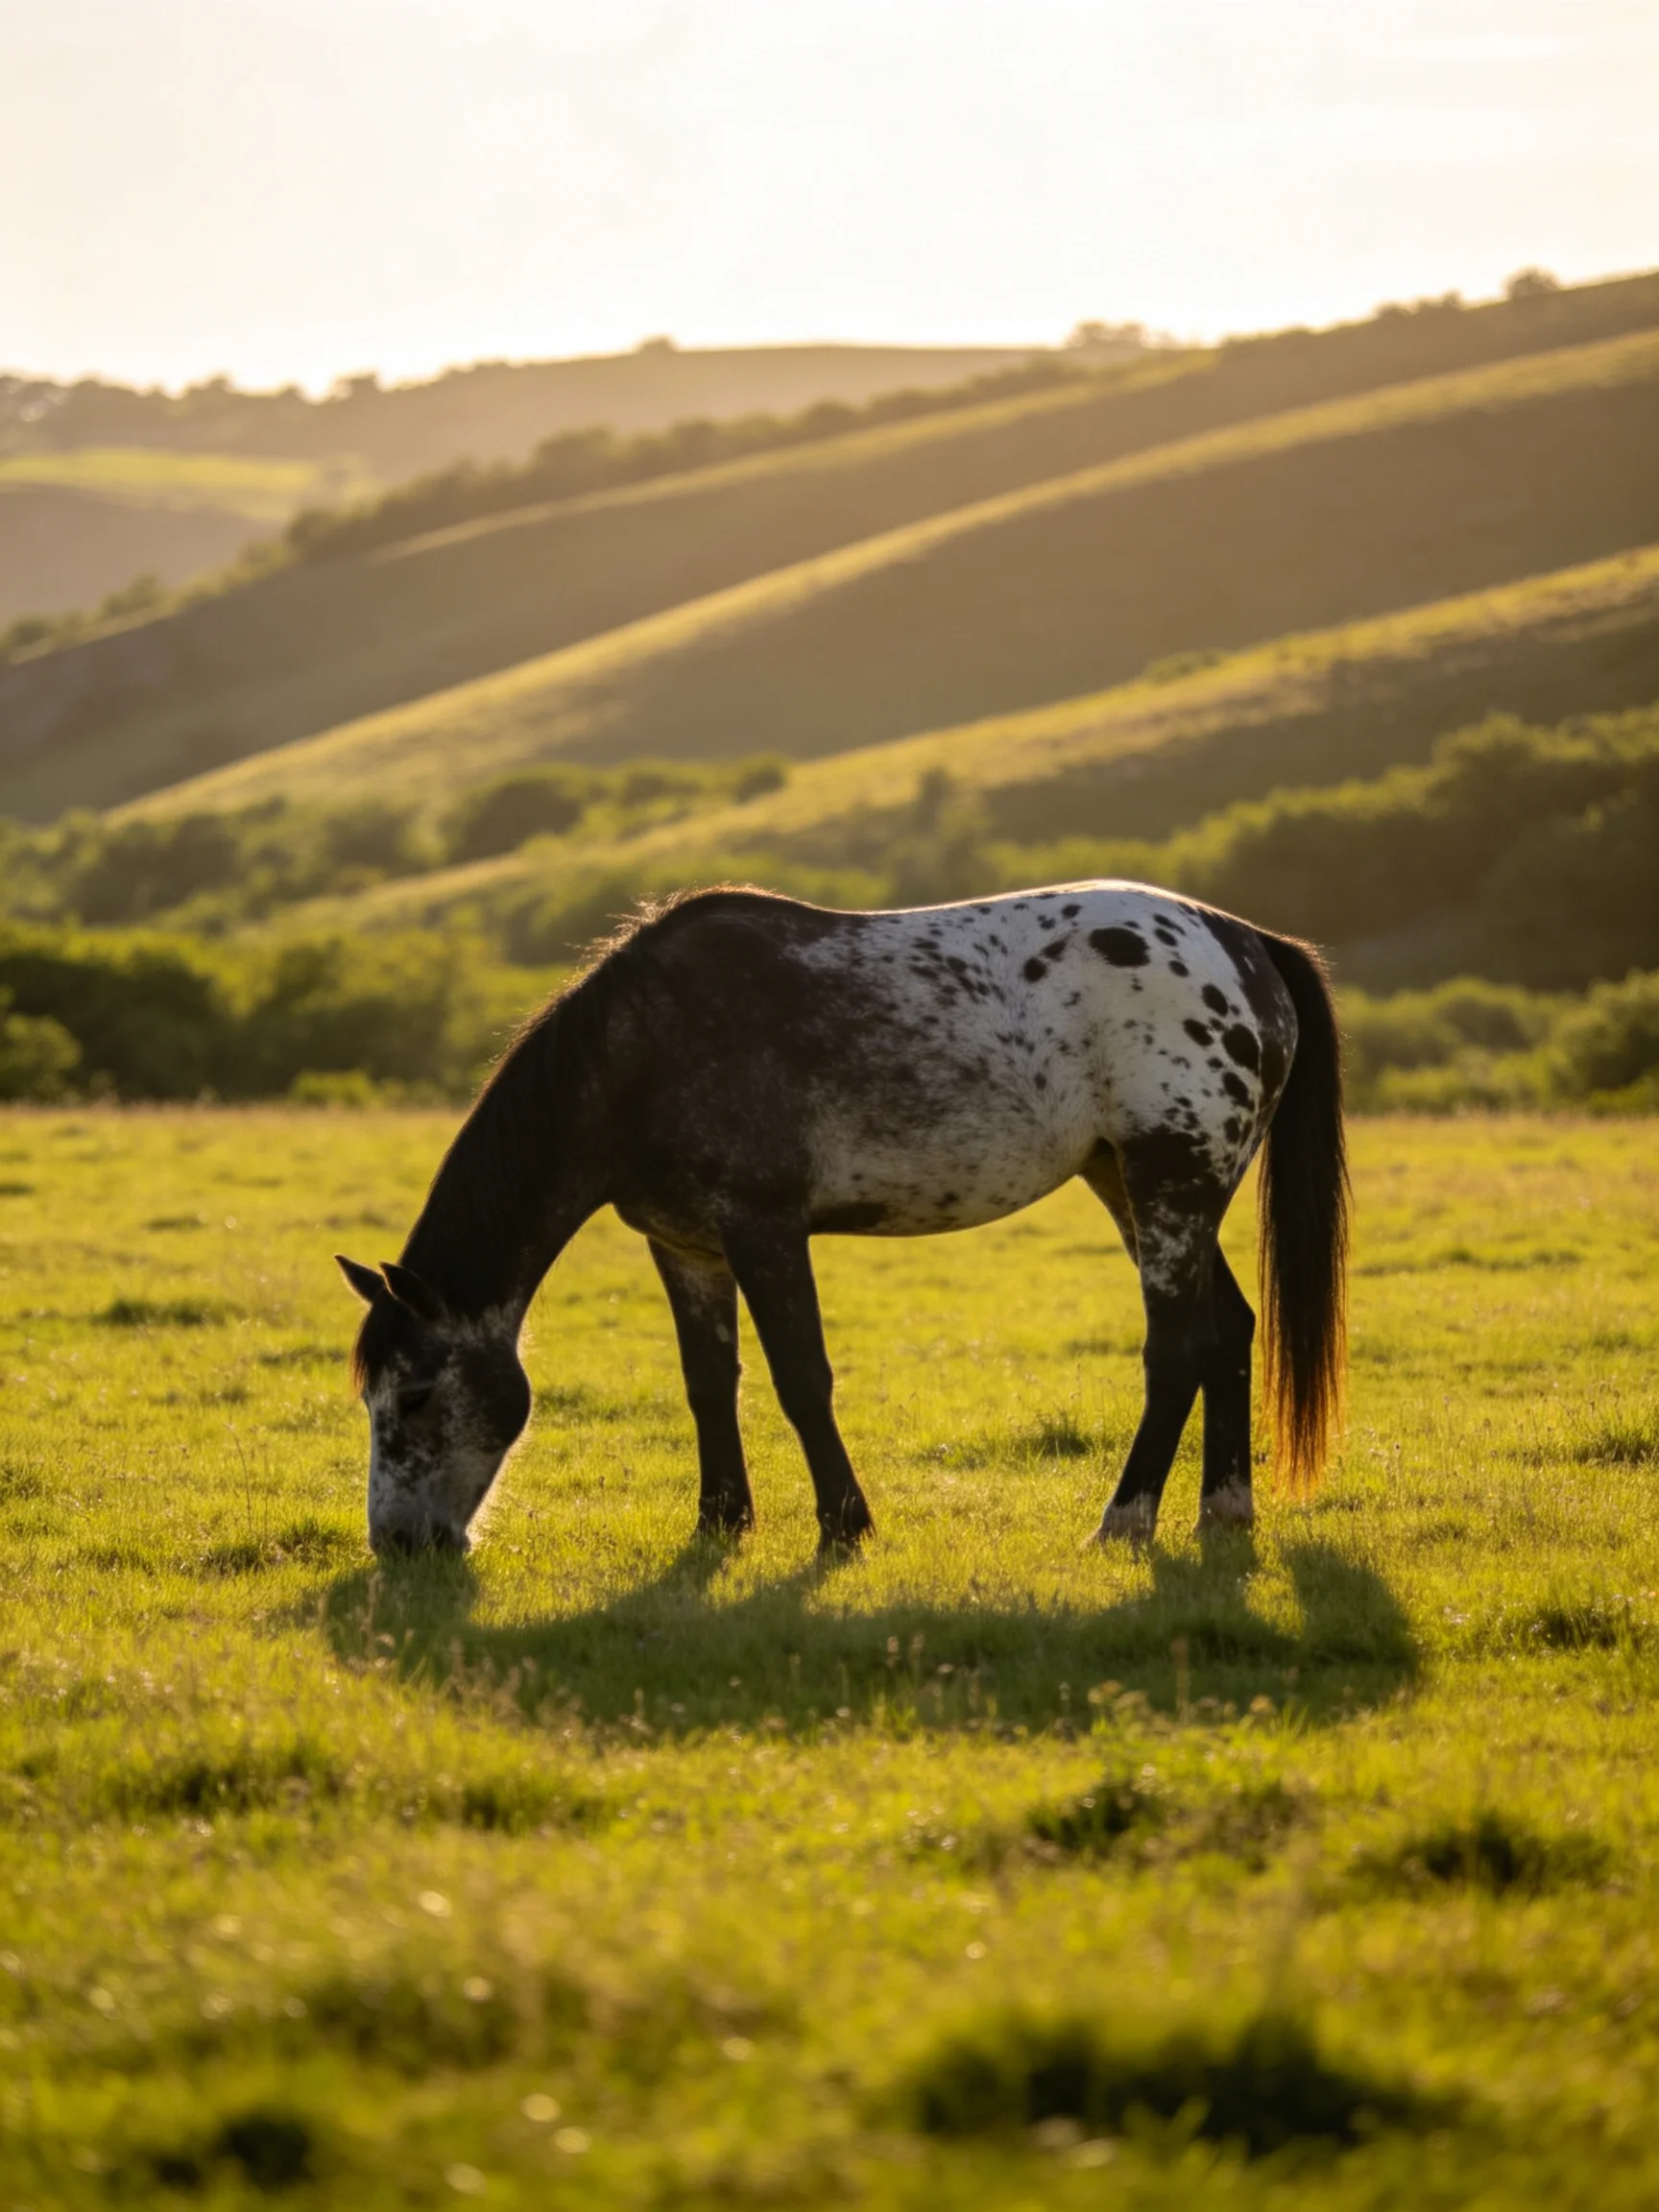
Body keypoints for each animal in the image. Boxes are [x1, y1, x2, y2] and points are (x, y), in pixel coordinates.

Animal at [338, 882, 1347, 1557]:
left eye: (416, 1397)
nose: (400, 1542)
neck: (647, 1051)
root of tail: (1244, 941)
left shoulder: (764, 1230)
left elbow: (800, 1380)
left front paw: (844, 1527)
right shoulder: (684, 1246)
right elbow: (709, 1382)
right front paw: (720, 1522)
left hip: (1171, 1183)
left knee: (1177, 1348)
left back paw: (1123, 1523)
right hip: (1133, 1186)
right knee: (1230, 1329)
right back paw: (1224, 1509)